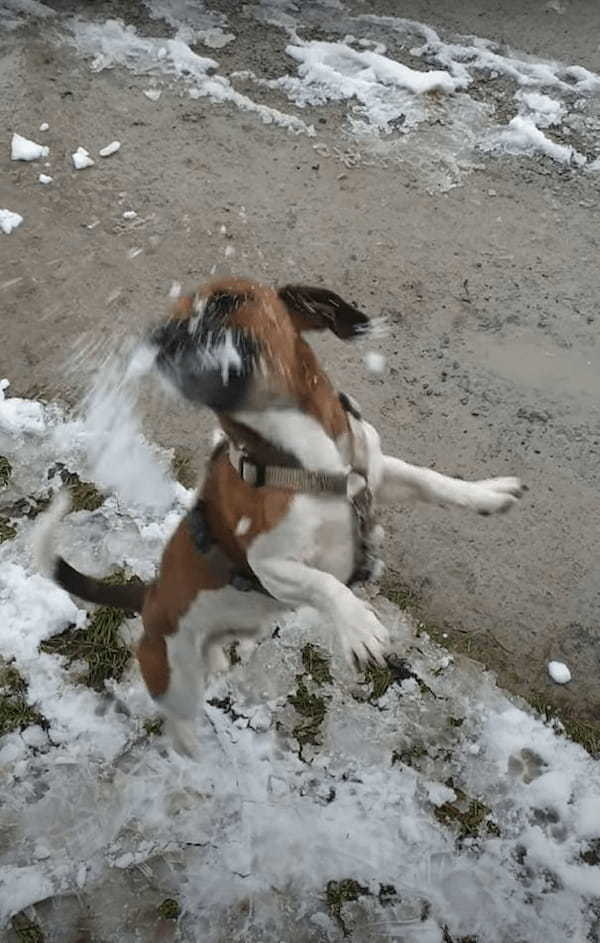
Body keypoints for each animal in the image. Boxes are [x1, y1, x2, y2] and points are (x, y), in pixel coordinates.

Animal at [32, 276, 524, 756]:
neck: (303, 458)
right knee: (177, 716)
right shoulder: (270, 565)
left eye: (226, 300)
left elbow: (430, 481)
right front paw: (358, 626)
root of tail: (149, 596)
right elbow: (324, 584)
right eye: (167, 323)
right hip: (174, 678)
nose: (158, 338)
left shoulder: (376, 473)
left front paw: (485, 493)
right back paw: (189, 747)